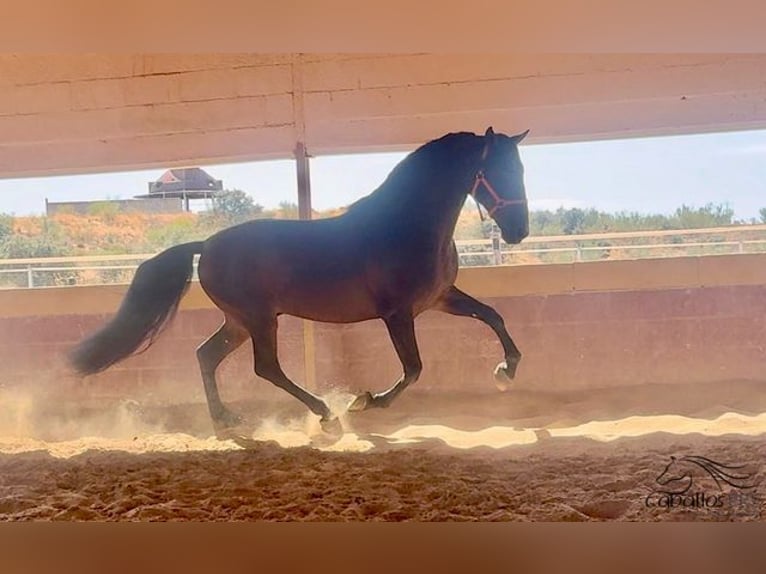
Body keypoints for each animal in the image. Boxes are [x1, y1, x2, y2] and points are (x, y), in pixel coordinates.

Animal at [70, 128, 528, 434]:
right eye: (496, 170)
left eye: (520, 167)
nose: (519, 231)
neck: (407, 227)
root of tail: (207, 244)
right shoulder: (398, 314)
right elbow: (413, 368)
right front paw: (364, 402)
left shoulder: (440, 298)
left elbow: (494, 316)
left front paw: (505, 372)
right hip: (258, 319)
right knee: (265, 367)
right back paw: (325, 414)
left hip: (239, 322)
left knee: (207, 356)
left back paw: (227, 419)